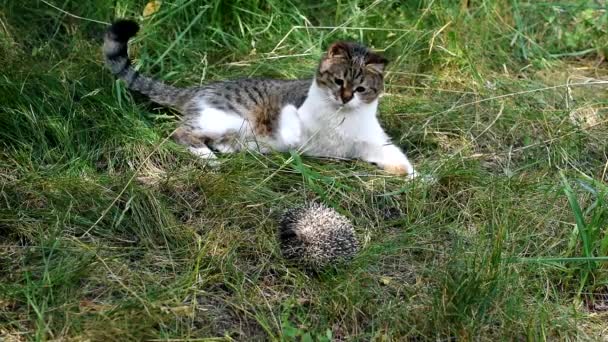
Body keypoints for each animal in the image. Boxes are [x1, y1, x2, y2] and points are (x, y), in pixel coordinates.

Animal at [105, 20, 418, 178]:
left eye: (361, 89)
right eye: (339, 81)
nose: (344, 98)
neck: (339, 117)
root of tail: (198, 88)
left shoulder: (373, 143)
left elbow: (399, 159)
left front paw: (417, 179)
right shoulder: (293, 106)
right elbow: (292, 121)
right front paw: (292, 137)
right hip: (225, 117)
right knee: (180, 133)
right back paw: (210, 159)